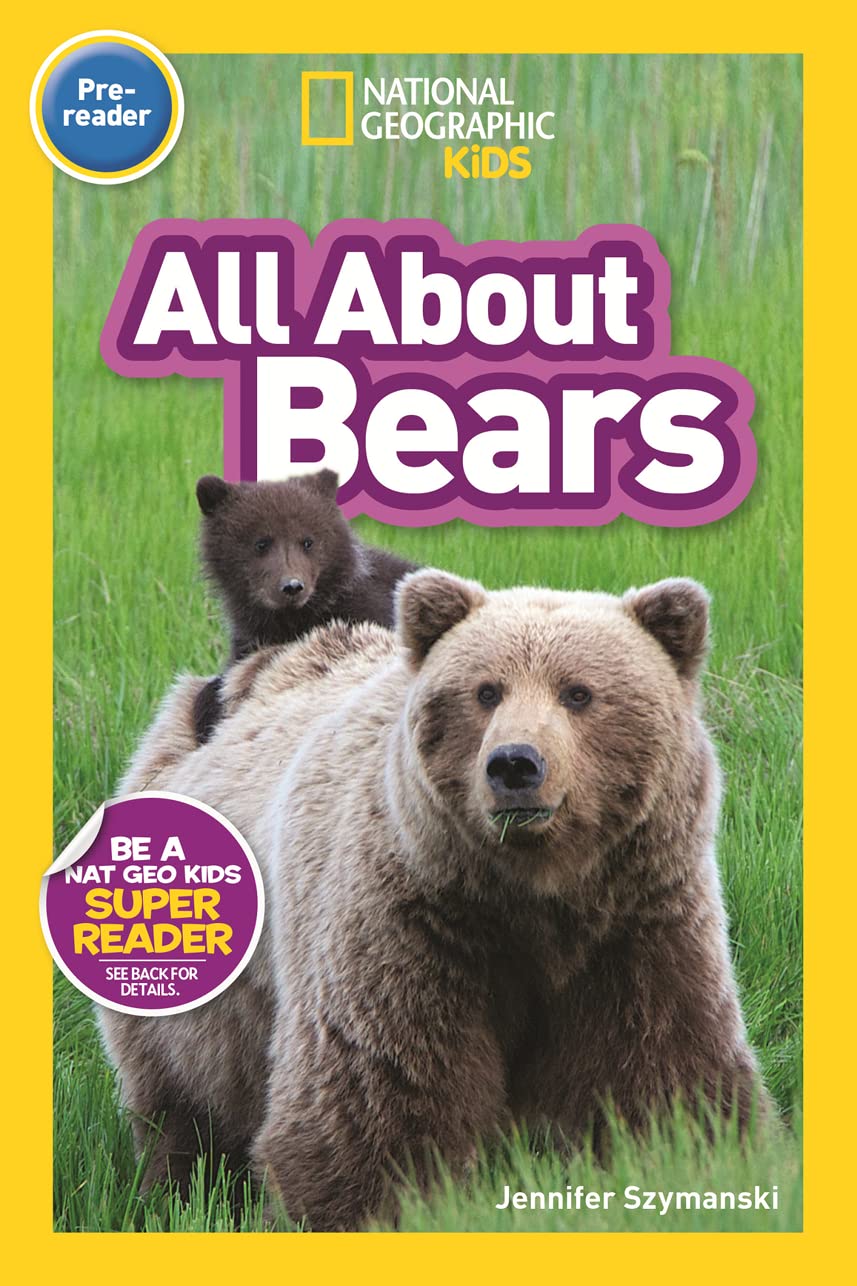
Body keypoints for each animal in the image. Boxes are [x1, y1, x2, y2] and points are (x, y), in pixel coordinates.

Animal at [101, 571, 766, 1230]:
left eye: (578, 692)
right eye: (486, 691)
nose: (515, 764)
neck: (533, 895)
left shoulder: (637, 923)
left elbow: (661, 1072)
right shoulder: (408, 919)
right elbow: (381, 1094)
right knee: (182, 1095)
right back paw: (174, 1190)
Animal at [191, 468, 418, 743]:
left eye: (308, 541)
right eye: (261, 543)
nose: (292, 586)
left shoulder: (366, 613)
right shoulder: (251, 636)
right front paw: (206, 709)